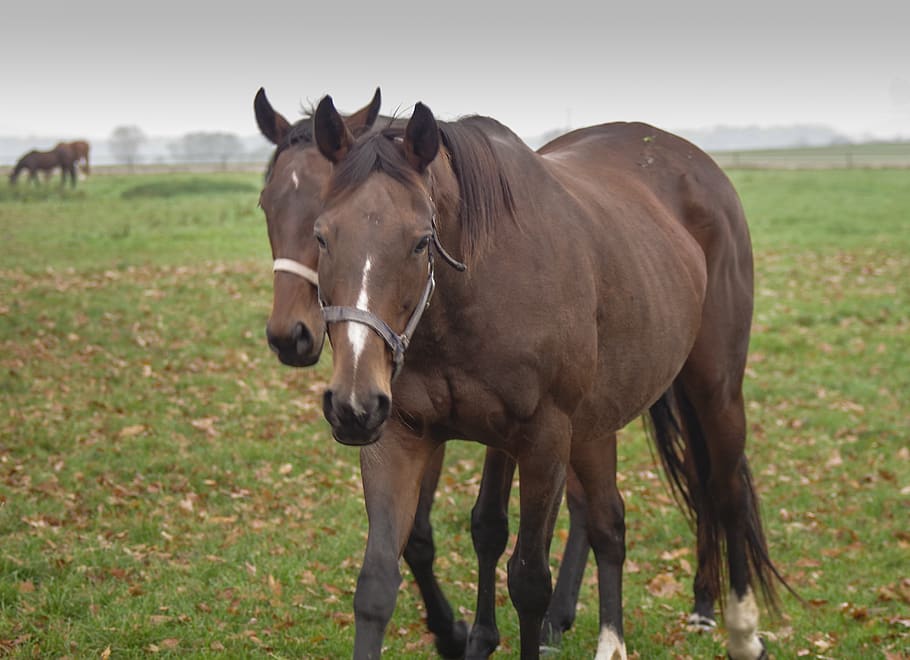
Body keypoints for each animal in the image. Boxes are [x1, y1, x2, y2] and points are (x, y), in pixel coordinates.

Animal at [306, 95, 789, 659]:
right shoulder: (400, 438)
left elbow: (528, 582)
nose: (353, 404)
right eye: (321, 236)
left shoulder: (544, 441)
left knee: (726, 491)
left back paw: (742, 632)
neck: (478, 285)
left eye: (421, 241)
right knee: (608, 520)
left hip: (715, 390)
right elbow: (380, 581)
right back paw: (615, 639)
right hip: (599, 422)